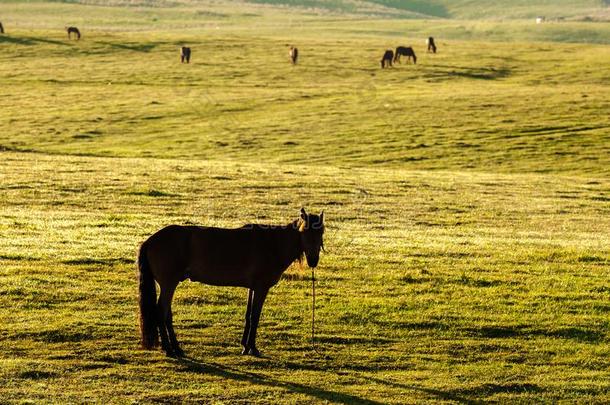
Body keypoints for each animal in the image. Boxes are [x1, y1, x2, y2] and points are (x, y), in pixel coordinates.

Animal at [137, 208, 324, 356]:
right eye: (304, 232)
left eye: (321, 232)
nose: (313, 261)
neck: (272, 244)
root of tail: (150, 240)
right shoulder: (261, 288)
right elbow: (255, 316)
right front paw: (253, 348)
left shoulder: (252, 288)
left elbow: (249, 315)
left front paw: (245, 346)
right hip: (169, 284)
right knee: (161, 312)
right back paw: (169, 349)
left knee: (166, 313)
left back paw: (176, 348)